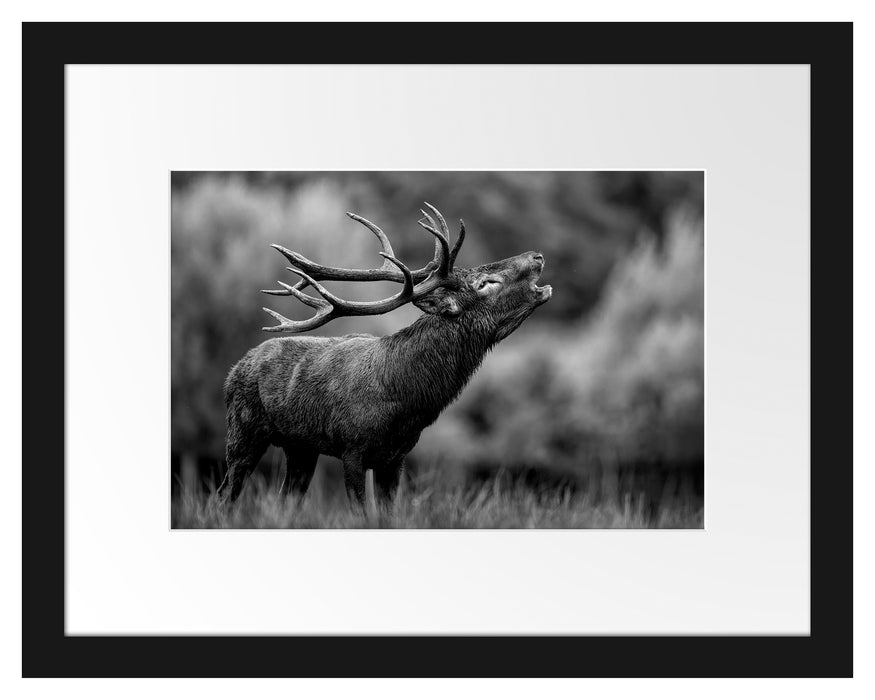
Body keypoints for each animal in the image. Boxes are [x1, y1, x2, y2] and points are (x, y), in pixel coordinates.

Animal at [216, 203, 552, 506]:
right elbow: (361, 513)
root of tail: (234, 370)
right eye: (485, 284)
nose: (537, 256)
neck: (405, 401)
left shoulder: (396, 457)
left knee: (287, 497)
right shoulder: (351, 448)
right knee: (225, 493)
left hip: (300, 447)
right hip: (242, 430)